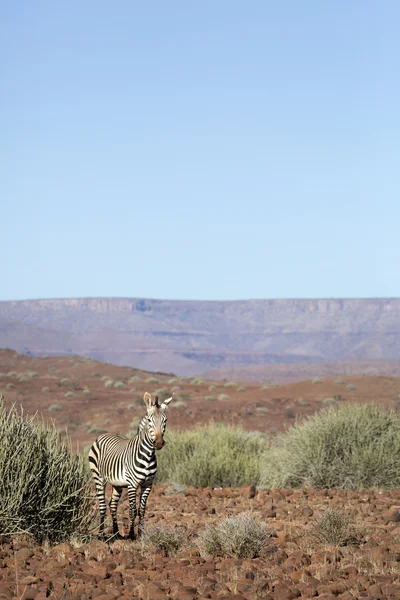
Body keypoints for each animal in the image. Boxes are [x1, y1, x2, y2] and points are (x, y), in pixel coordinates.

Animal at [88, 392, 172, 540]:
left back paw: (116, 533)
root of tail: (104, 434)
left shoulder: (147, 485)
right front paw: (132, 535)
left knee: (113, 505)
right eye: (149, 421)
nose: (158, 443)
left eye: (165, 420)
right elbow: (132, 510)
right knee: (103, 506)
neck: (148, 455)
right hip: (98, 478)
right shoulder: (132, 484)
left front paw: (141, 535)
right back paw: (101, 535)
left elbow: (142, 510)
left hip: (117, 484)